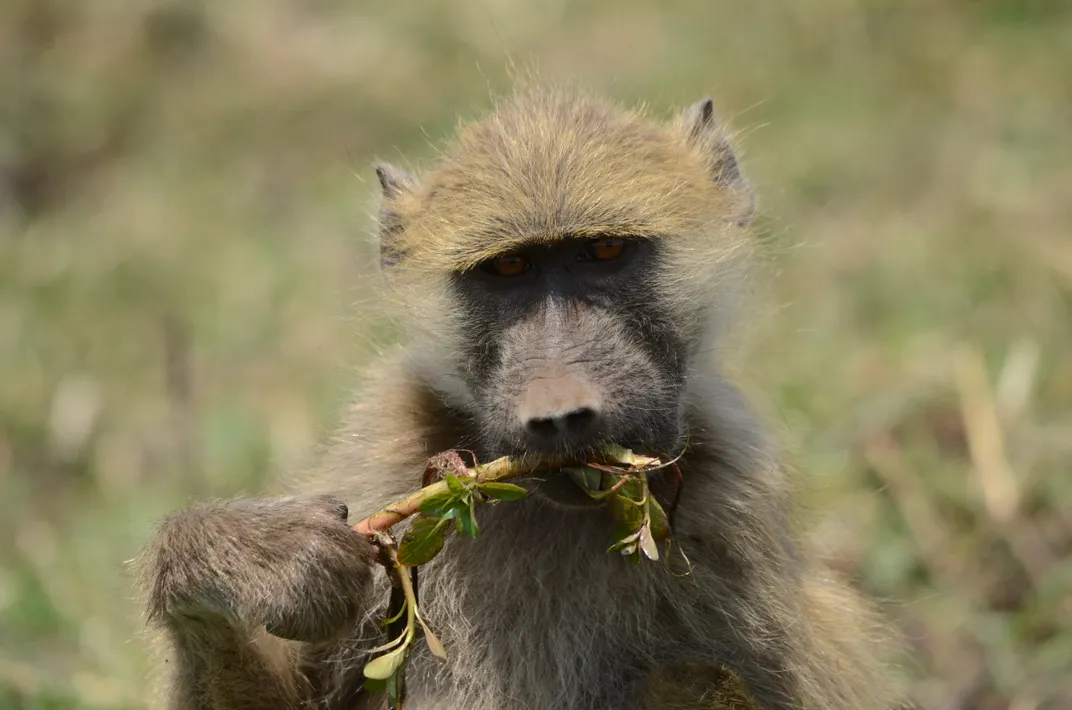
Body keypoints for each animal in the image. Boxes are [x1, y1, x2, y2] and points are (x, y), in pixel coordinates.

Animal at [139, 84, 901, 710]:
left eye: (605, 253)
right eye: (508, 269)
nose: (561, 414)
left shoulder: (733, 501)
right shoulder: (386, 445)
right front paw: (244, 559)